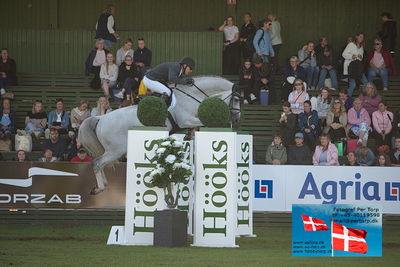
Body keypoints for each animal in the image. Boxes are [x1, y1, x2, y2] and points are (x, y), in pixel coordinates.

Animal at [79, 76, 239, 195]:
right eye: (237, 99)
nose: (237, 118)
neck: (191, 95)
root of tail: (100, 119)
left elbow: (196, 127)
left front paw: (189, 136)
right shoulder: (185, 120)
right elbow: (200, 123)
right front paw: (191, 134)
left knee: (99, 162)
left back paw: (102, 184)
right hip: (116, 150)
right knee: (97, 163)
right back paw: (99, 188)